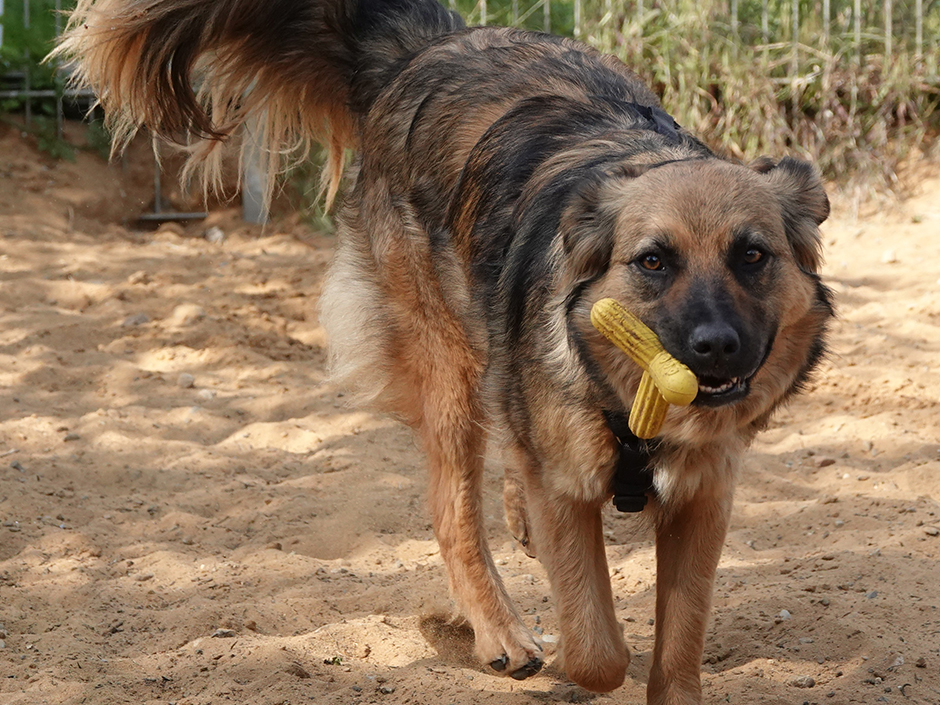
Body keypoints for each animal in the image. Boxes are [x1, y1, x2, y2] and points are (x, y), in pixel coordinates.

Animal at [58, 1, 828, 700]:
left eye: (753, 255)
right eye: (653, 262)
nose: (716, 347)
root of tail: (426, 46)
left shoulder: (704, 500)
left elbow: (679, 647)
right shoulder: (571, 490)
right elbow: (597, 649)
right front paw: (565, 651)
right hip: (449, 370)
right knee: (453, 509)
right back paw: (495, 631)